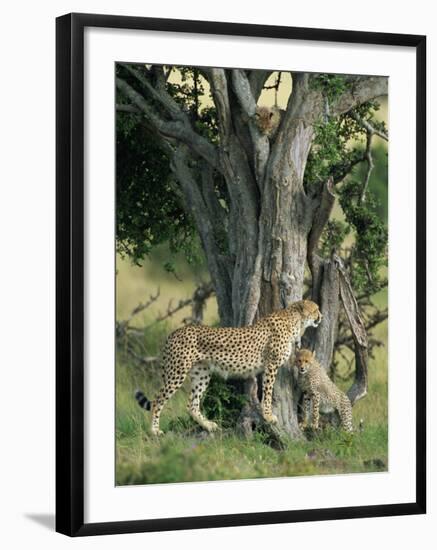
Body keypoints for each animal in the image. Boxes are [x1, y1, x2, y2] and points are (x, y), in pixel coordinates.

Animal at [135, 300, 322, 438]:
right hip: (177, 372)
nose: (321, 316)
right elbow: (268, 392)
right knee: (158, 399)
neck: (295, 320)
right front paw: (268, 416)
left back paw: (208, 425)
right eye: (316, 309)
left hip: (201, 373)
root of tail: (175, 332)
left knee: (192, 404)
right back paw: (154, 430)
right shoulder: (271, 365)